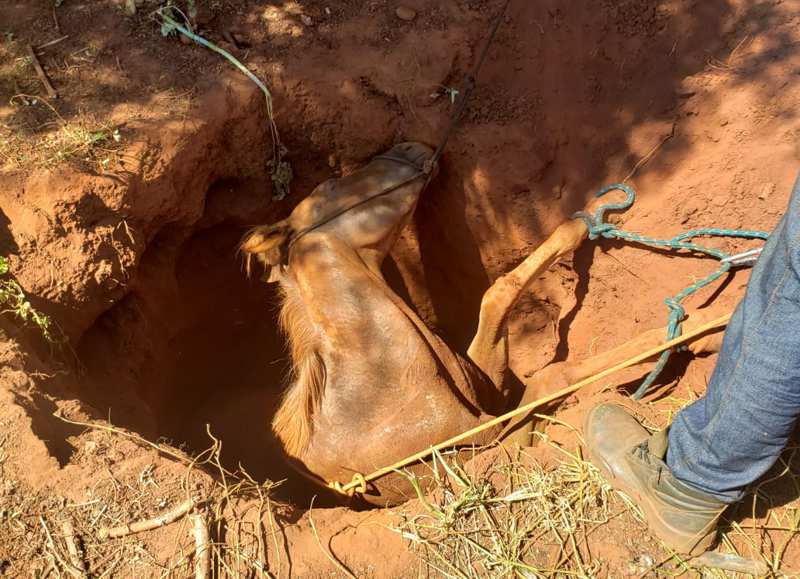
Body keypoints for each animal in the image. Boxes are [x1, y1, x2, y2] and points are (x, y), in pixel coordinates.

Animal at [239, 143, 720, 506]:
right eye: (331, 186)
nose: (407, 146)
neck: (382, 387)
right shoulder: (491, 448)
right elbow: (552, 377)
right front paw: (705, 328)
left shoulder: (491, 380)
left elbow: (497, 294)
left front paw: (594, 212)